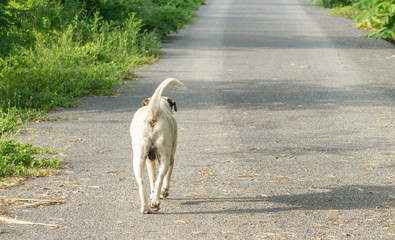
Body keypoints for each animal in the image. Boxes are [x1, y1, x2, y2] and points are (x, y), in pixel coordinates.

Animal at [131, 78, 185, 214]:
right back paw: (156, 203)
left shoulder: (149, 160)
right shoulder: (171, 158)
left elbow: (152, 179)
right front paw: (164, 192)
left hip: (139, 160)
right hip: (165, 158)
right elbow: (165, 178)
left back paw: (146, 207)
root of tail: (153, 113)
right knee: (160, 179)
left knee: (142, 185)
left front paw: (153, 194)